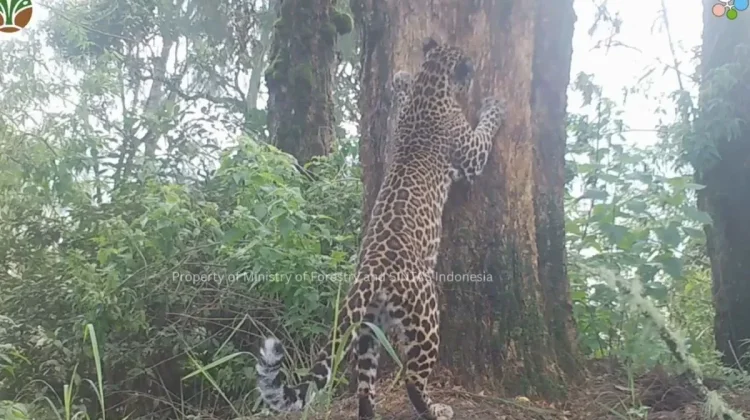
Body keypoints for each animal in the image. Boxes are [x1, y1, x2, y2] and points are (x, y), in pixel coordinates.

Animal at [255, 37, 506, 420]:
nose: (475, 75)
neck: (430, 88)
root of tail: (370, 270)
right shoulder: (470, 154)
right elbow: (484, 131)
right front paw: (495, 105)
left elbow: (398, 101)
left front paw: (401, 80)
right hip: (425, 317)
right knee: (412, 380)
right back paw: (437, 410)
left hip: (368, 328)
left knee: (364, 384)